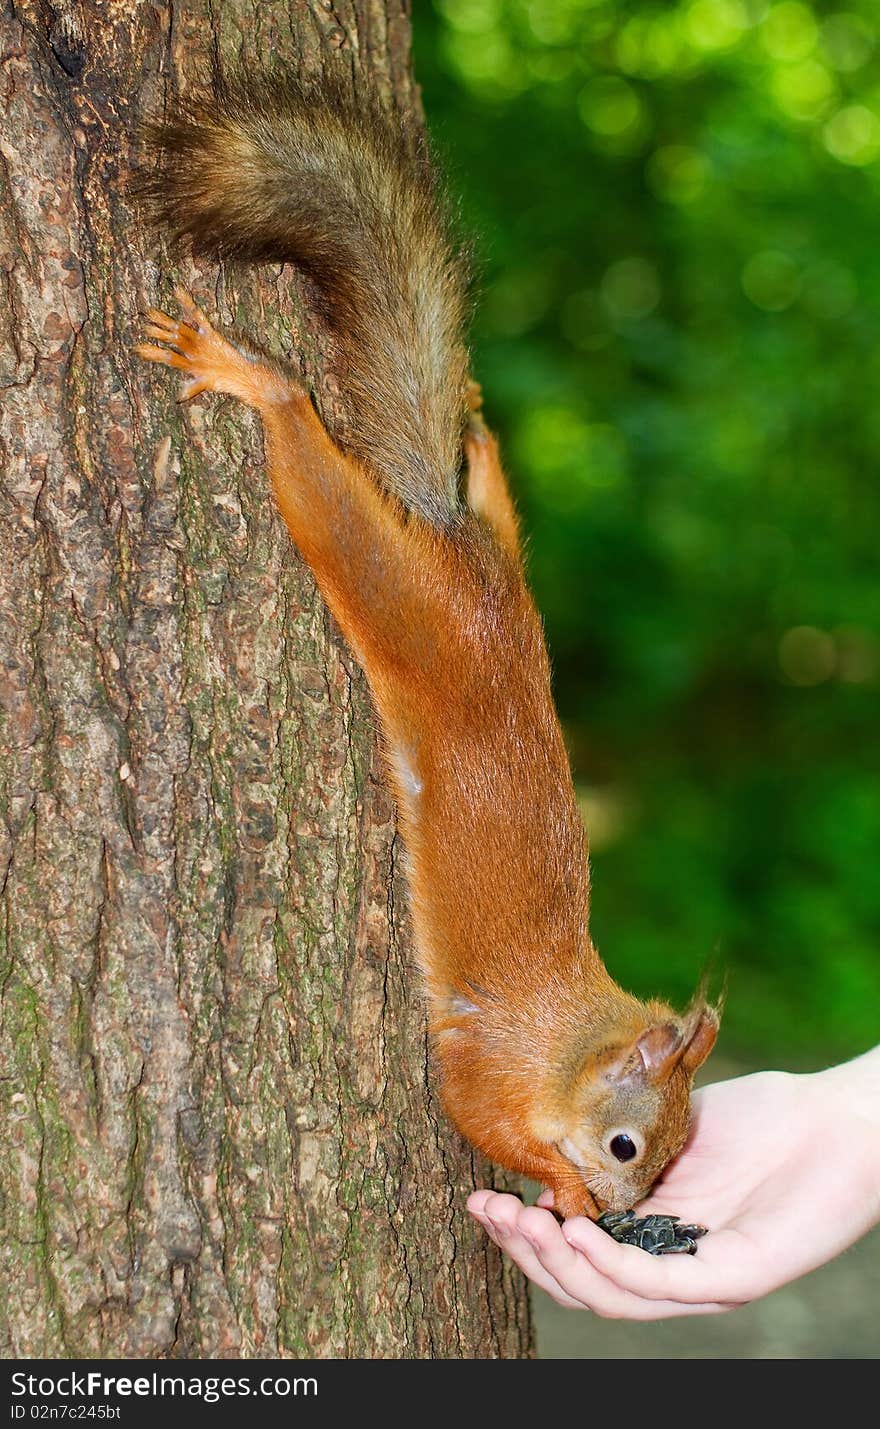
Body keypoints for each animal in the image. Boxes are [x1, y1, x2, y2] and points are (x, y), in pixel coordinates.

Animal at [135, 72, 714, 1217]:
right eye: (628, 1144)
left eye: (677, 1157)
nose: (629, 1214)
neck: (569, 1043)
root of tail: (456, 557)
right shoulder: (486, 1063)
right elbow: (478, 1115)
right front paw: (561, 1189)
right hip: (396, 592)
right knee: (317, 468)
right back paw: (258, 382)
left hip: (495, 579)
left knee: (493, 511)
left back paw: (480, 444)